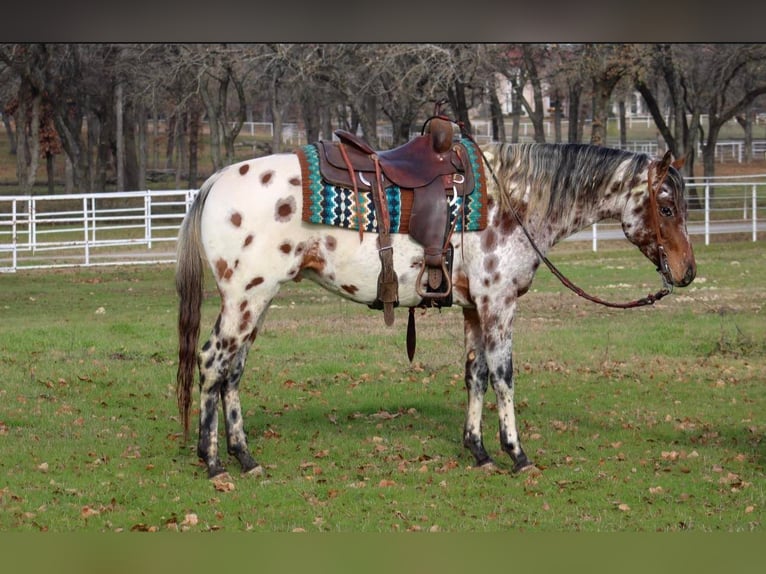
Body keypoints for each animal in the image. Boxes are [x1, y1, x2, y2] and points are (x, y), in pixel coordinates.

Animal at [174, 141, 696, 482]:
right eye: (667, 207)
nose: (687, 271)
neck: (512, 200)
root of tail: (218, 180)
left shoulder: (475, 308)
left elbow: (475, 375)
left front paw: (478, 450)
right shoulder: (498, 304)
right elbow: (504, 376)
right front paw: (517, 454)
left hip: (256, 302)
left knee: (233, 372)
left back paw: (244, 457)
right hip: (246, 298)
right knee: (212, 363)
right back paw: (213, 462)